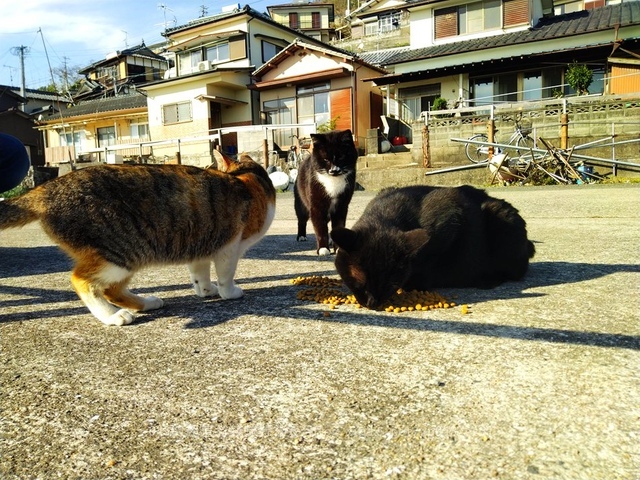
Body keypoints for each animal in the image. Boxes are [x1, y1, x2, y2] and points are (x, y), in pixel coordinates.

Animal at [0, 153, 276, 326]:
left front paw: (206, 290)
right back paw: (111, 316)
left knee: (112, 289)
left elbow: (200, 274)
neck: (247, 182)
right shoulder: (229, 248)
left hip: (127, 257)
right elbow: (226, 275)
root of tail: (45, 190)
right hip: (122, 252)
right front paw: (229, 292)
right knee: (82, 281)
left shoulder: (201, 245)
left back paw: (146, 303)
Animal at [294, 127, 358, 255]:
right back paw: (301, 236)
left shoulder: (341, 206)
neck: (333, 181)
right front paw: (323, 248)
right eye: (325, 159)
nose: (334, 170)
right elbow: (320, 228)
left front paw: (338, 248)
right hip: (300, 203)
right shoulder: (316, 206)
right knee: (302, 220)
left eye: (341, 157)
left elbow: (338, 225)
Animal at [330, 186, 536, 310]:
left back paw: (487, 280)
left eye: (390, 285)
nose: (372, 303)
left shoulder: (451, 218)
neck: (386, 213)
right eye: (360, 282)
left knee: (516, 271)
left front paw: (415, 281)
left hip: (501, 217)